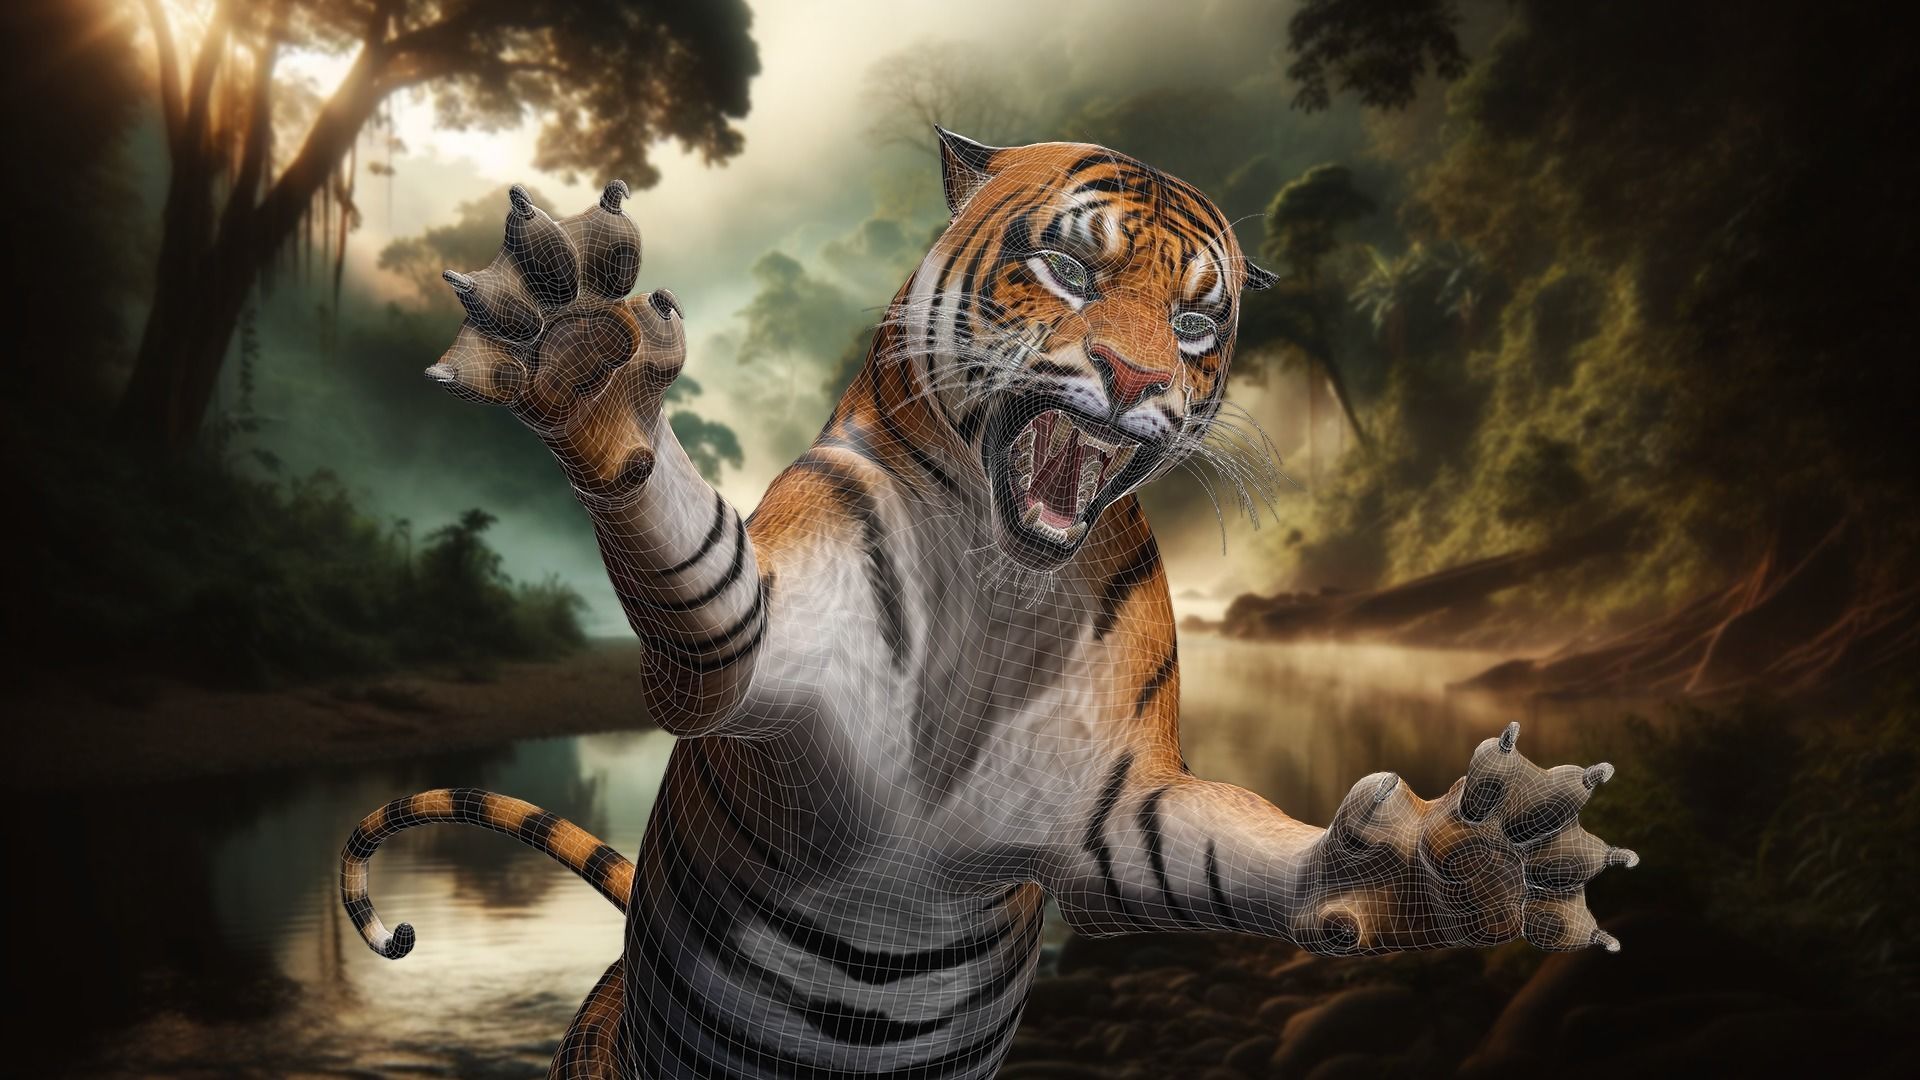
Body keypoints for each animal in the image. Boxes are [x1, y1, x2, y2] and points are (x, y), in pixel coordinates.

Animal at [338, 129, 1637, 1079]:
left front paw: (1479, 869)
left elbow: (1251, 857)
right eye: (1070, 267)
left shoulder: (1114, 816)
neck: (1001, 583)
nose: (1137, 376)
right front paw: (581, 348)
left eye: (1197, 319)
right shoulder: (732, 662)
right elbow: (686, 541)